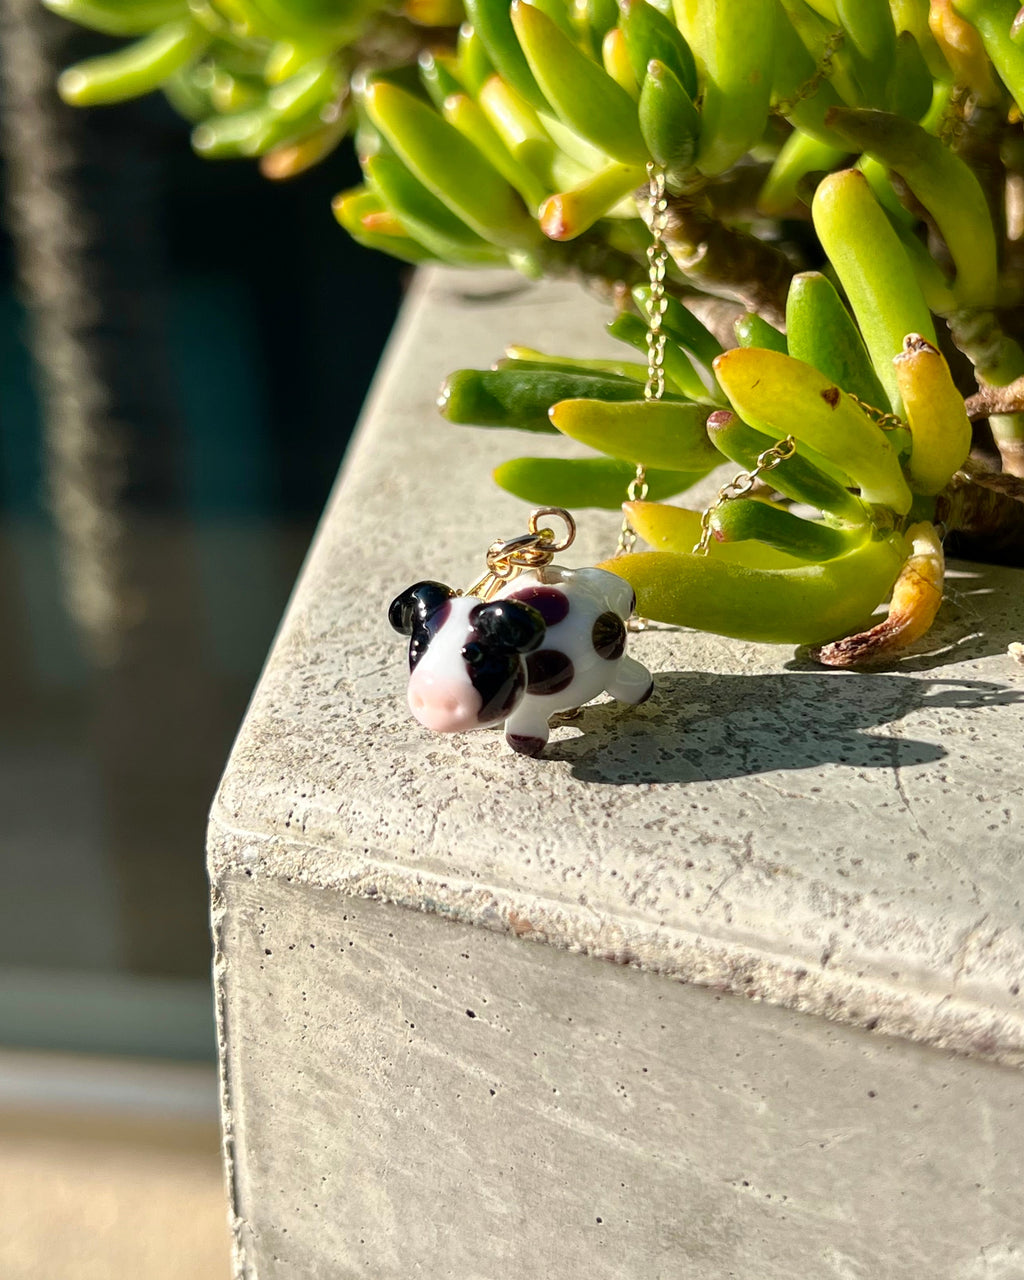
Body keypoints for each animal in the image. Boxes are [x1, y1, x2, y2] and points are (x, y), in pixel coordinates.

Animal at [389, 564, 654, 756]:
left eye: (474, 654)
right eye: (419, 646)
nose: (431, 692)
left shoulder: (529, 707)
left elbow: (524, 730)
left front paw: (525, 747)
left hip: (616, 665)